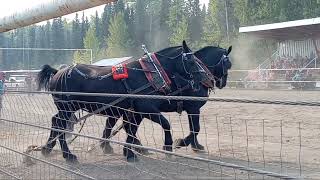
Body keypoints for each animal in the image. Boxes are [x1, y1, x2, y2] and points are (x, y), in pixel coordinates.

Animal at [38, 41, 205, 162]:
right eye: (191, 60)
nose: (204, 76)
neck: (149, 74)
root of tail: (58, 72)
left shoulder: (135, 111)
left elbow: (131, 130)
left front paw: (129, 152)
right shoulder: (146, 108)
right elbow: (164, 124)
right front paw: (168, 147)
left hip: (66, 108)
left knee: (55, 122)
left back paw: (47, 149)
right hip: (67, 108)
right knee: (60, 125)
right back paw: (67, 154)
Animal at [100, 44, 232, 153]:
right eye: (227, 64)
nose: (222, 83)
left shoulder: (191, 109)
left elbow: (193, 128)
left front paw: (195, 145)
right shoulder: (193, 108)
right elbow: (196, 128)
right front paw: (182, 143)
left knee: (118, 126)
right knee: (121, 126)